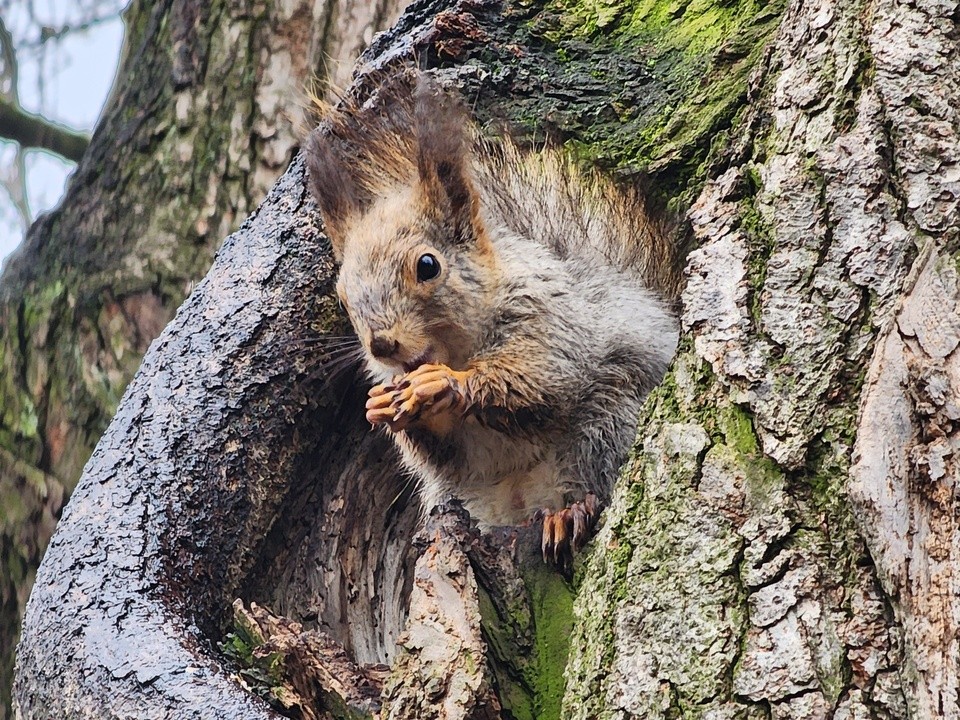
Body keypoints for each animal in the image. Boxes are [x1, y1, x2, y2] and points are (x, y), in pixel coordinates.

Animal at [304, 70, 680, 572]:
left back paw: (568, 514)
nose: (381, 345)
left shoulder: (553, 316)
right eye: (343, 296)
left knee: (594, 479)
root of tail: (526, 501)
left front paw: (445, 384)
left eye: (427, 266)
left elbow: (539, 375)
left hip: (608, 420)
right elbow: (446, 451)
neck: (456, 347)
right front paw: (381, 407)